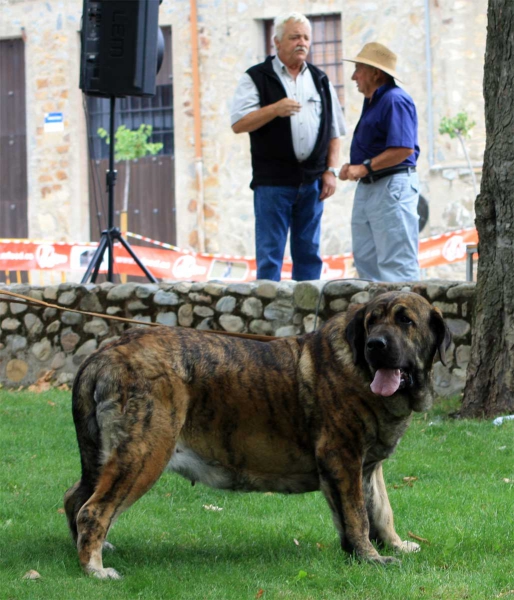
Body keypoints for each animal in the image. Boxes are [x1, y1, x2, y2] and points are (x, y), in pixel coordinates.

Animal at [64, 292, 448, 580]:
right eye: (372, 322)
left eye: (405, 321)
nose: (375, 345)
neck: (360, 368)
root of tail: (105, 353)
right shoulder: (344, 459)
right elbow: (358, 515)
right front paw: (371, 558)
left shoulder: (367, 467)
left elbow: (381, 509)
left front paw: (393, 545)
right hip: (144, 453)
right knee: (93, 509)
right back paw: (95, 569)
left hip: (105, 457)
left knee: (75, 498)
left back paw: (89, 549)